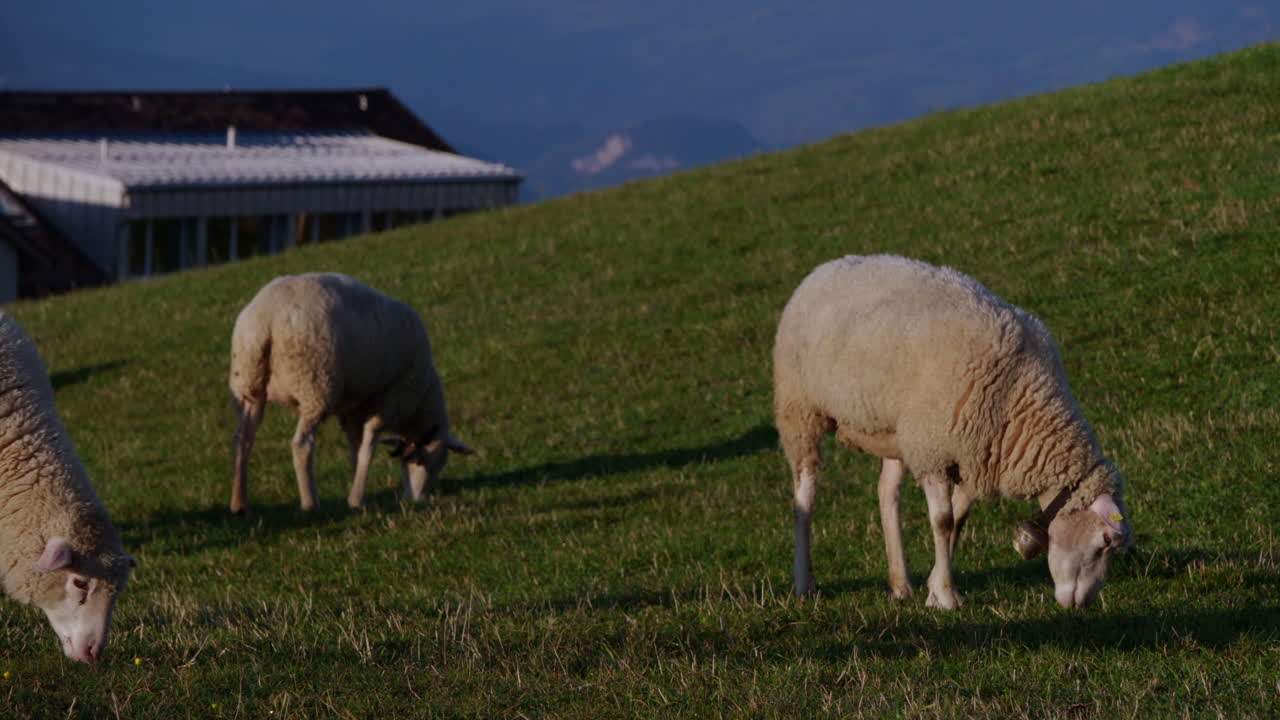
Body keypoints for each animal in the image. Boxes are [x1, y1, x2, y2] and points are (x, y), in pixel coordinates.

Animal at [229, 273, 474, 514]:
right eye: (426, 461)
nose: (418, 499)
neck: (419, 404)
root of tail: (264, 321)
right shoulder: (391, 402)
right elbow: (368, 447)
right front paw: (357, 500)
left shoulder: (352, 409)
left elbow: (354, 448)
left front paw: (357, 492)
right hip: (316, 386)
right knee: (302, 445)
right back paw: (310, 502)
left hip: (248, 385)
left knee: (243, 440)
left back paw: (239, 504)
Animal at [773, 254, 1131, 610]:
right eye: (1103, 543)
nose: (1082, 604)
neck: (1019, 399)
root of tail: (828, 266)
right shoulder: (935, 451)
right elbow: (943, 521)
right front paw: (946, 595)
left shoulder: (974, 454)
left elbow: (958, 519)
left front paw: (933, 588)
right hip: (800, 412)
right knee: (805, 498)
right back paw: (805, 583)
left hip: (899, 432)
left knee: (887, 493)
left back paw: (900, 583)